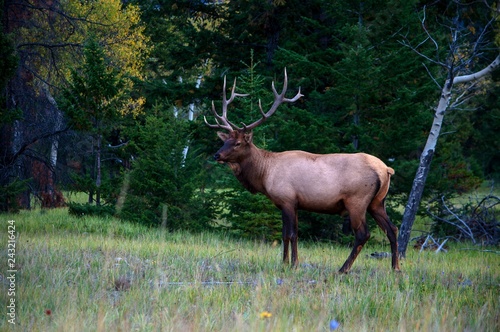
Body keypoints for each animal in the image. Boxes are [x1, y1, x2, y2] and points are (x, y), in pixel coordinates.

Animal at [205, 70, 400, 272]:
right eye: (224, 140)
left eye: (237, 143)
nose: (217, 155)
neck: (264, 174)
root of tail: (386, 169)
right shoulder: (294, 203)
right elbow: (290, 234)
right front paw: (289, 262)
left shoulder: (287, 199)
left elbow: (289, 234)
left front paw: (291, 264)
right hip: (377, 202)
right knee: (392, 229)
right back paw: (395, 268)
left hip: (357, 201)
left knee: (363, 234)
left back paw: (343, 269)